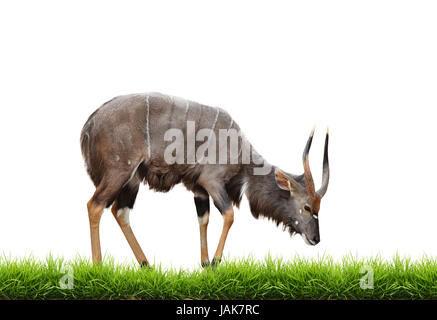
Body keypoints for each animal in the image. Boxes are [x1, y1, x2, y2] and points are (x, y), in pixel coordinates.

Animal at [80, 92, 328, 268]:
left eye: (318, 208)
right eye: (307, 207)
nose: (316, 238)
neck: (240, 152)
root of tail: (90, 124)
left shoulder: (198, 188)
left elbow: (204, 219)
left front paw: (205, 263)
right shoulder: (212, 181)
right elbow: (229, 215)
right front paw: (216, 262)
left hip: (132, 180)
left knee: (119, 211)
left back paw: (146, 264)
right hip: (118, 172)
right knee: (95, 205)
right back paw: (99, 267)